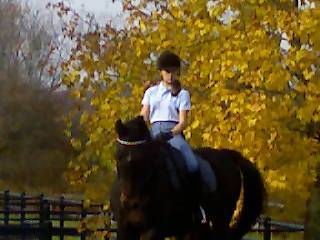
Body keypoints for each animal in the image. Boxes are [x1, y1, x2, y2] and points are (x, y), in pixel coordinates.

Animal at [110, 115, 264, 239]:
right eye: (118, 156)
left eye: (143, 156)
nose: (129, 202)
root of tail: (226, 154)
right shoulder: (124, 230)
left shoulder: (154, 229)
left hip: (221, 219)